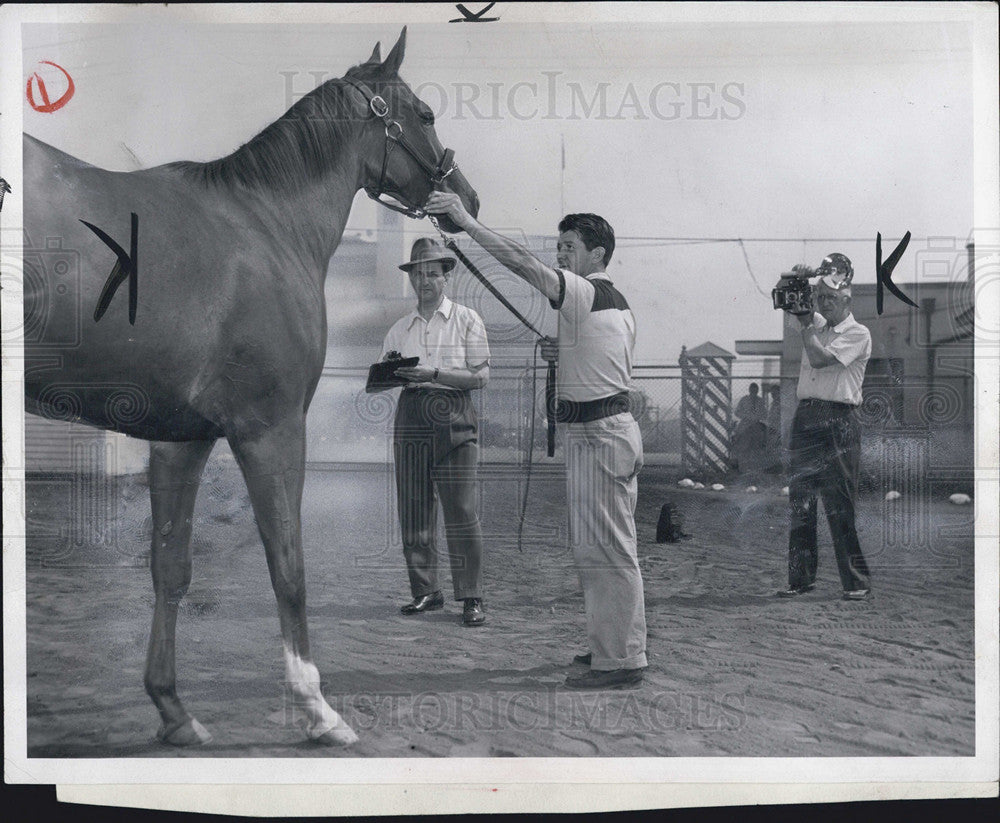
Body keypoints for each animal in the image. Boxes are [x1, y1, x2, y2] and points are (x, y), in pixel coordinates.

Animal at [21, 27, 478, 748]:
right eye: (426, 114)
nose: (466, 199)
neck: (267, 225)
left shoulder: (180, 438)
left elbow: (170, 568)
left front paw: (172, 708)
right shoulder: (271, 428)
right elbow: (288, 563)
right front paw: (317, 707)